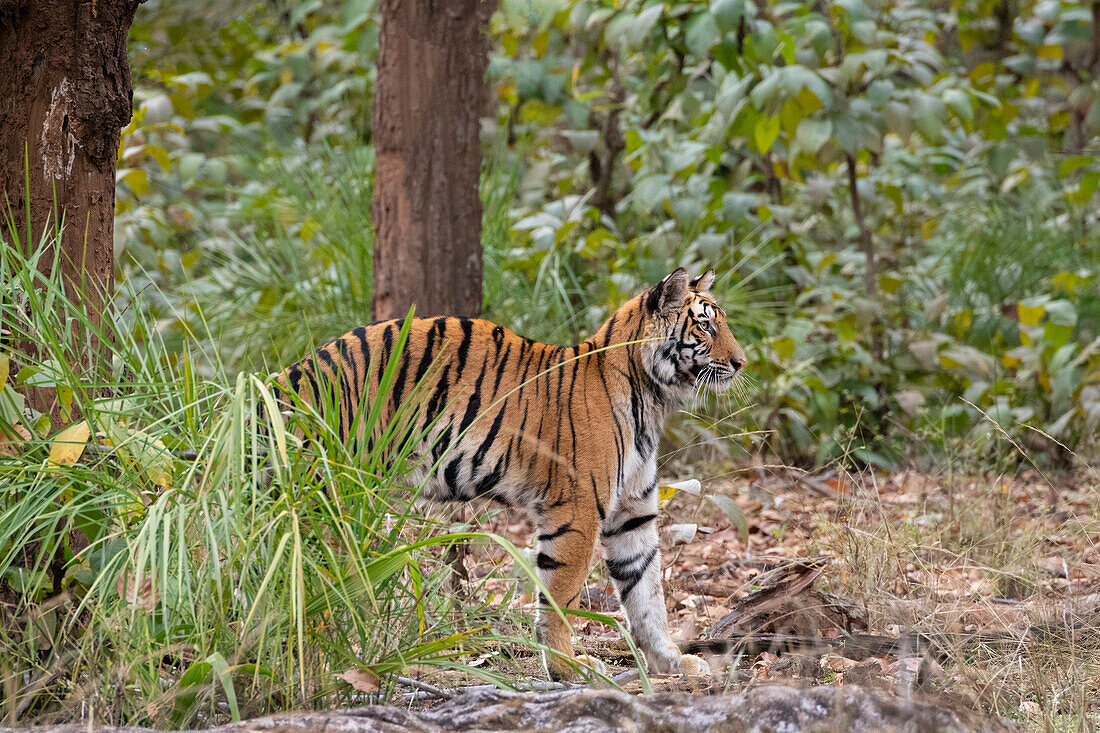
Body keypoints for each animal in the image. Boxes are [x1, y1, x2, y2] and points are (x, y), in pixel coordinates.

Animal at [279, 265, 752, 677]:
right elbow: (562, 595)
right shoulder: (578, 509)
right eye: (706, 326)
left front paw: (673, 661)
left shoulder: (633, 513)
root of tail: (291, 376)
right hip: (329, 496)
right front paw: (568, 667)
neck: (651, 398)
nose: (742, 362)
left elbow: (648, 594)